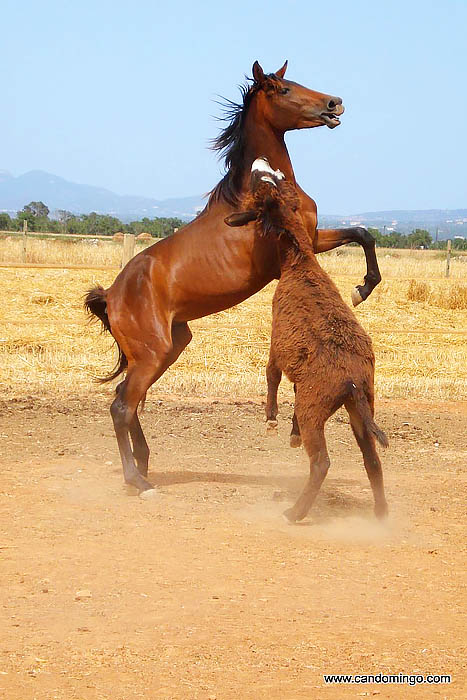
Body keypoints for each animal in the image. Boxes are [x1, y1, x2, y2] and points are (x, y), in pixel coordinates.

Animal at [86, 61, 382, 498]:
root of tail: (111, 295)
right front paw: (360, 290)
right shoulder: (293, 248)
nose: (334, 104)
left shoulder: (314, 238)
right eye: (282, 89)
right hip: (153, 352)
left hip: (168, 348)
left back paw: (144, 462)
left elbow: (362, 233)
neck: (254, 191)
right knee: (121, 405)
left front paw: (363, 287)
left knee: (127, 399)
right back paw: (138, 481)